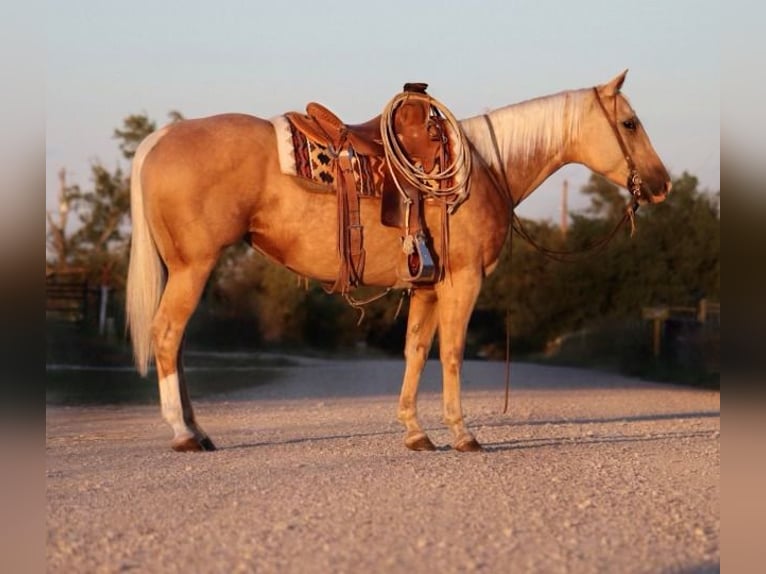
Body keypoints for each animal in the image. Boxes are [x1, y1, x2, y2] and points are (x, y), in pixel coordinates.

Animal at [126, 68, 672, 454]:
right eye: (630, 123)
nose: (662, 184)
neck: (486, 170)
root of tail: (159, 139)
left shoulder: (427, 285)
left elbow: (415, 351)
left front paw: (415, 432)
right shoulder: (463, 281)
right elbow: (451, 353)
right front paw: (463, 434)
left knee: (177, 343)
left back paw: (198, 429)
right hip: (193, 266)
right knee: (167, 335)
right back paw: (184, 434)